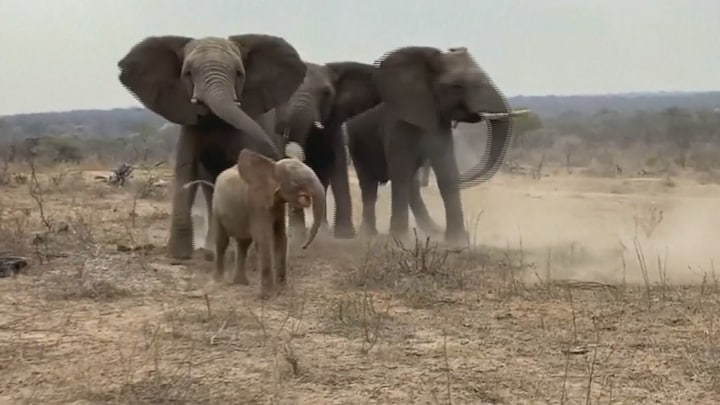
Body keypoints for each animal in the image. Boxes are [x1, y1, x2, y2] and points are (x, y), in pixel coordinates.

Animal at [117, 33, 306, 258]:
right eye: (188, 73)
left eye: (239, 73)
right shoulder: (189, 124)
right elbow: (186, 171)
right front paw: (177, 257)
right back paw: (211, 250)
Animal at [187, 149, 324, 300]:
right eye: (295, 182)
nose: (303, 246)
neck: (272, 165)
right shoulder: (256, 203)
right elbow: (264, 239)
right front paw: (268, 296)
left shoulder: (278, 205)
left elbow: (281, 238)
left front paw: (282, 291)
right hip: (216, 208)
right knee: (222, 242)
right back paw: (218, 281)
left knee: (243, 244)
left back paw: (241, 283)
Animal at [272, 61, 380, 238]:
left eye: (327, 93)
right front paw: (295, 233)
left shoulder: (336, 129)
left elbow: (338, 166)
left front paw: (345, 235)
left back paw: (322, 231)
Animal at [346, 46, 524, 245]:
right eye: (457, 86)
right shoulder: (398, 118)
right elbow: (400, 171)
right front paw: (400, 241)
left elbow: (447, 171)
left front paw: (457, 241)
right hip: (356, 141)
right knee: (370, 185)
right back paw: (368, 235)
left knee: (411, 185)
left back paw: (432, 231)